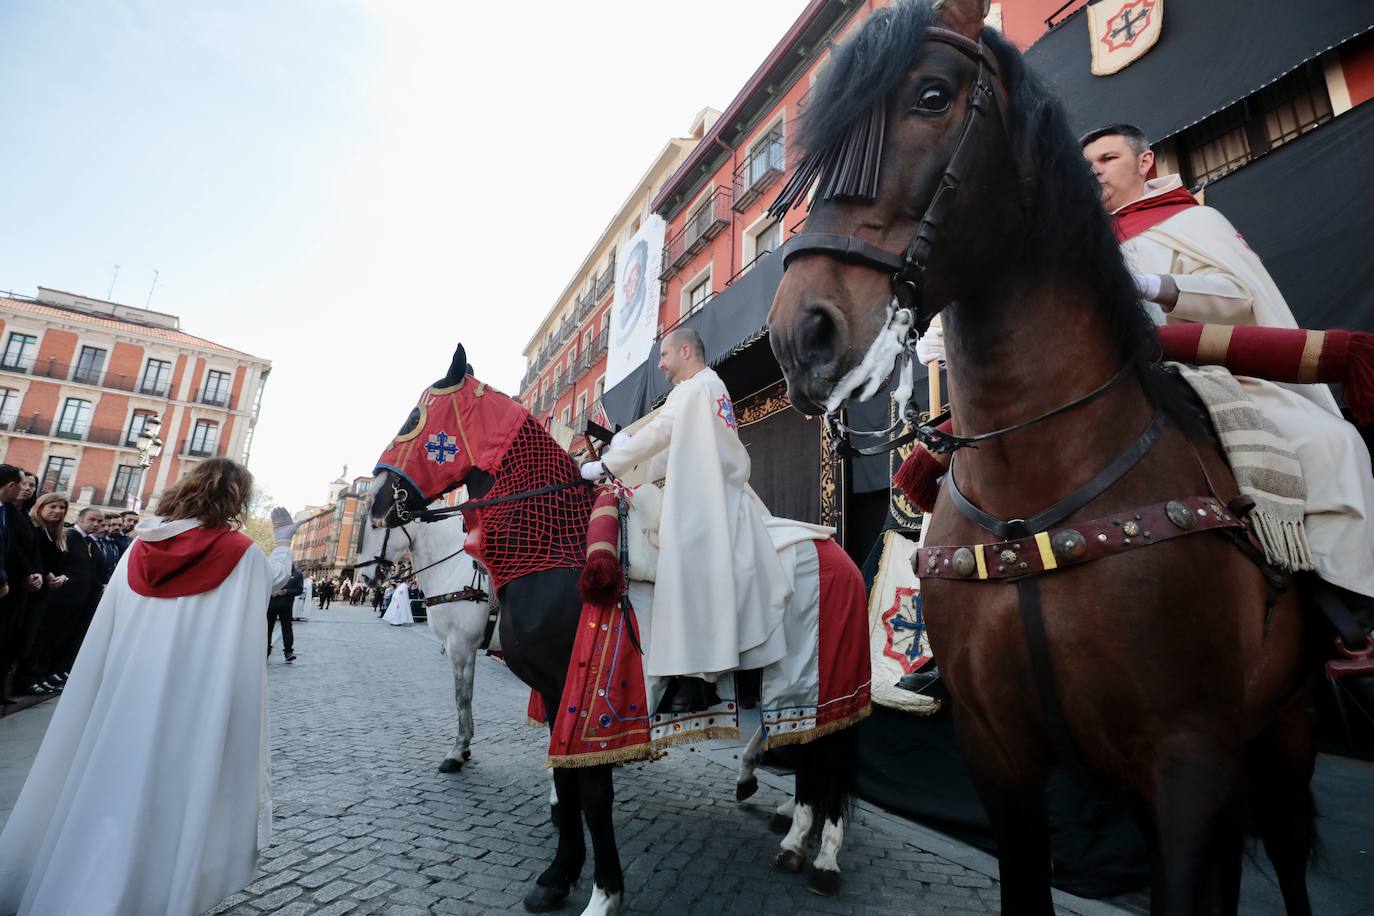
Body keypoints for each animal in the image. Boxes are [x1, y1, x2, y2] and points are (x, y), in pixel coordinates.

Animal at [365, 516, 494, 774]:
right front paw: (465, 747)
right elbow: (468, 695)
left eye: (375, 526)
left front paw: (457, 751)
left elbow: (461, 697)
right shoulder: (468, 647)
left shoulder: (459, 644)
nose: (364, 577)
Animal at [769, 3, 1313, 911]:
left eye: (931, 95)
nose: (798, 336)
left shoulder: (1188, 757)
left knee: (1290, 854)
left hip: (1285, 731)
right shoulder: (1000, 757)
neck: (1035, 489)